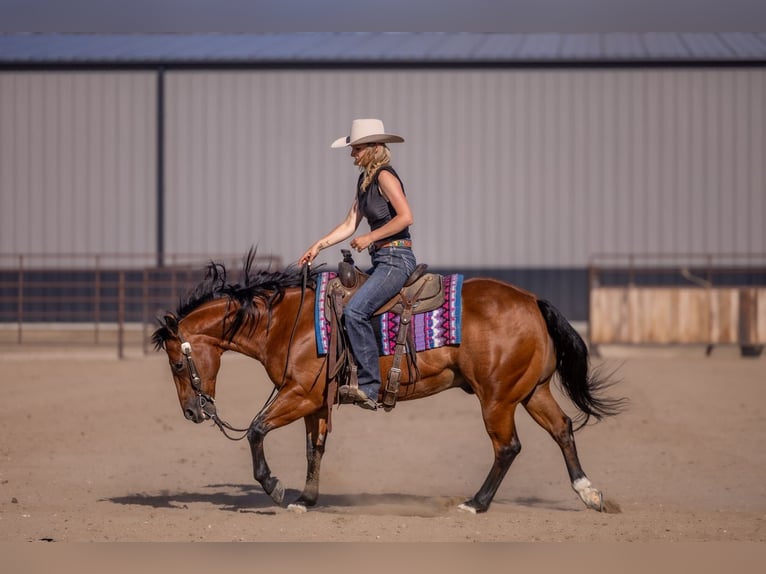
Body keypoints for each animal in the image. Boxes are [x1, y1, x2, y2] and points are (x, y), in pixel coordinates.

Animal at [152, 251, 625, 514]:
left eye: (176, 364)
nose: (192, 412)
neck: (289, 322)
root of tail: (532, 301)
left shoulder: (299, 394)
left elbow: (255, 430)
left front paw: (274, 487)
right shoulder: (316, 402)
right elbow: (314, 448)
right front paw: (306, 500)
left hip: (497, 400)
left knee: (508, 447)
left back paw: (476, 504)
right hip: (530, 391)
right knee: (562, 429)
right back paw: (590, 494)